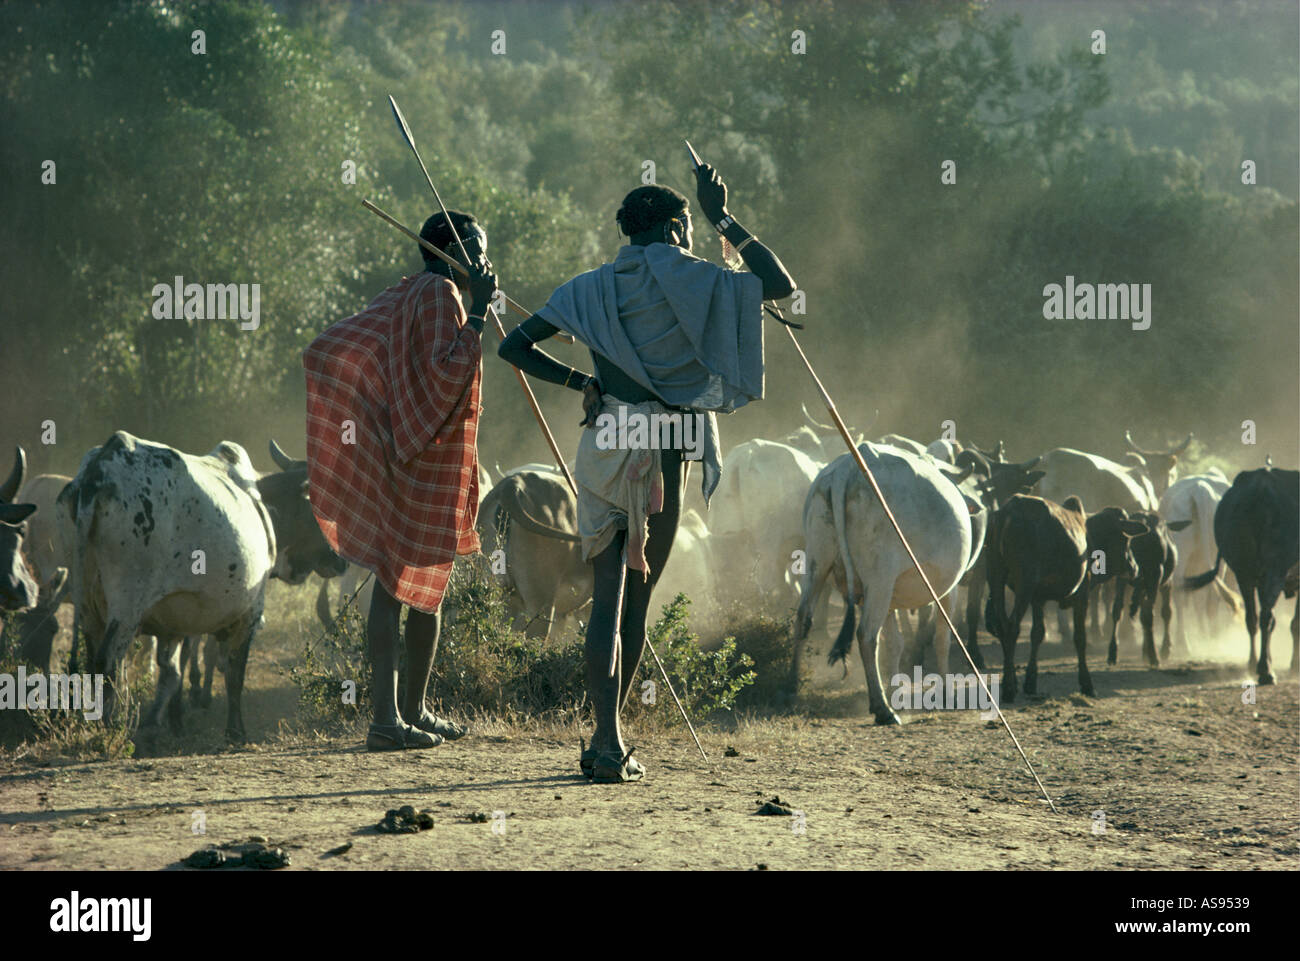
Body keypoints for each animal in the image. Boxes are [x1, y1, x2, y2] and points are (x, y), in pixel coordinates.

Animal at [790, 444, 977, 723]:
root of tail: (847, 468)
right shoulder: (947, 592)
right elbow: (942, 639)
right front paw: (946, 691)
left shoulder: (887, 600)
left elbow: (895, 644)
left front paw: (896, 689)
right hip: (880, 577)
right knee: (866, 635)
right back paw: (882, 709)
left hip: (818, 564)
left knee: (803, 617)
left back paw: (789, 686)